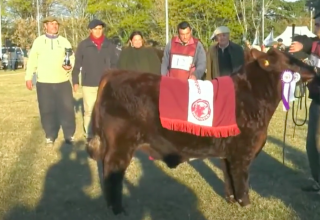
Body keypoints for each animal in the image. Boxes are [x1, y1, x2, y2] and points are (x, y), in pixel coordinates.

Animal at [86, 48, 316, 215]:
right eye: (290, 61)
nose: (313, 70)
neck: (254, 96)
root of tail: (114, 73)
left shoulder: (228, 153)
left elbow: (229, 178)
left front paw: (231, 200)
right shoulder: (242, 151)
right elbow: (241, 179)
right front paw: (246, 203)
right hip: (121, 144)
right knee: (112, 174)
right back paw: (118, 209)